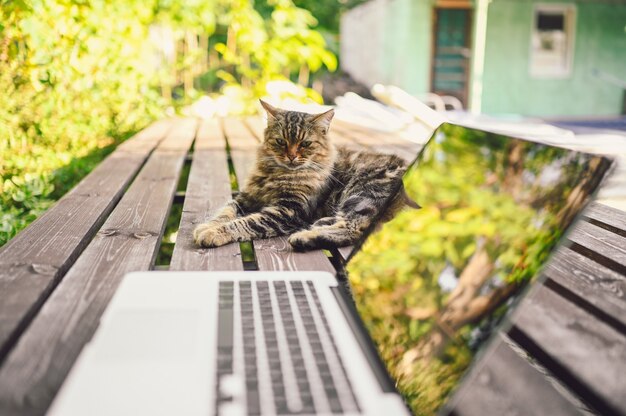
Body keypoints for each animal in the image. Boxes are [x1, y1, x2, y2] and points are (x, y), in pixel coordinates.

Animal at [190, 101, 414, 250]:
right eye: (281, 141)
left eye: (305, 144)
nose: (291, 156)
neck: (277, 173)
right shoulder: (246, 198)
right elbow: (225, 213)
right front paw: (208, 226)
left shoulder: (289, 210)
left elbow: (245, 222)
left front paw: (214, 233)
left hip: (361, 193)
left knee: (354, 229)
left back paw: (304, 238)